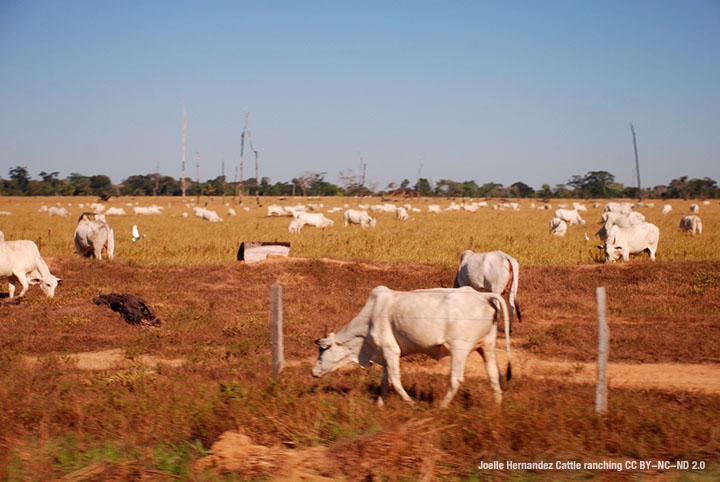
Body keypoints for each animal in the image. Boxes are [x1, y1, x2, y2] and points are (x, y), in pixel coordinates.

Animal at [310, 286, 512, 406]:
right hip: (487, 346)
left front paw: (411, 404)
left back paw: (441, 408)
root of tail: (483, 296)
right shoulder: (385, 353)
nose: (313, 372)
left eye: (323, 349)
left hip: (459, 350)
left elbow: (395, 381)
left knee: (456, 380)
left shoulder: (391, 350)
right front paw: (379, 405)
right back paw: (497, 408)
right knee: (495, 376)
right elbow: (385, 381)